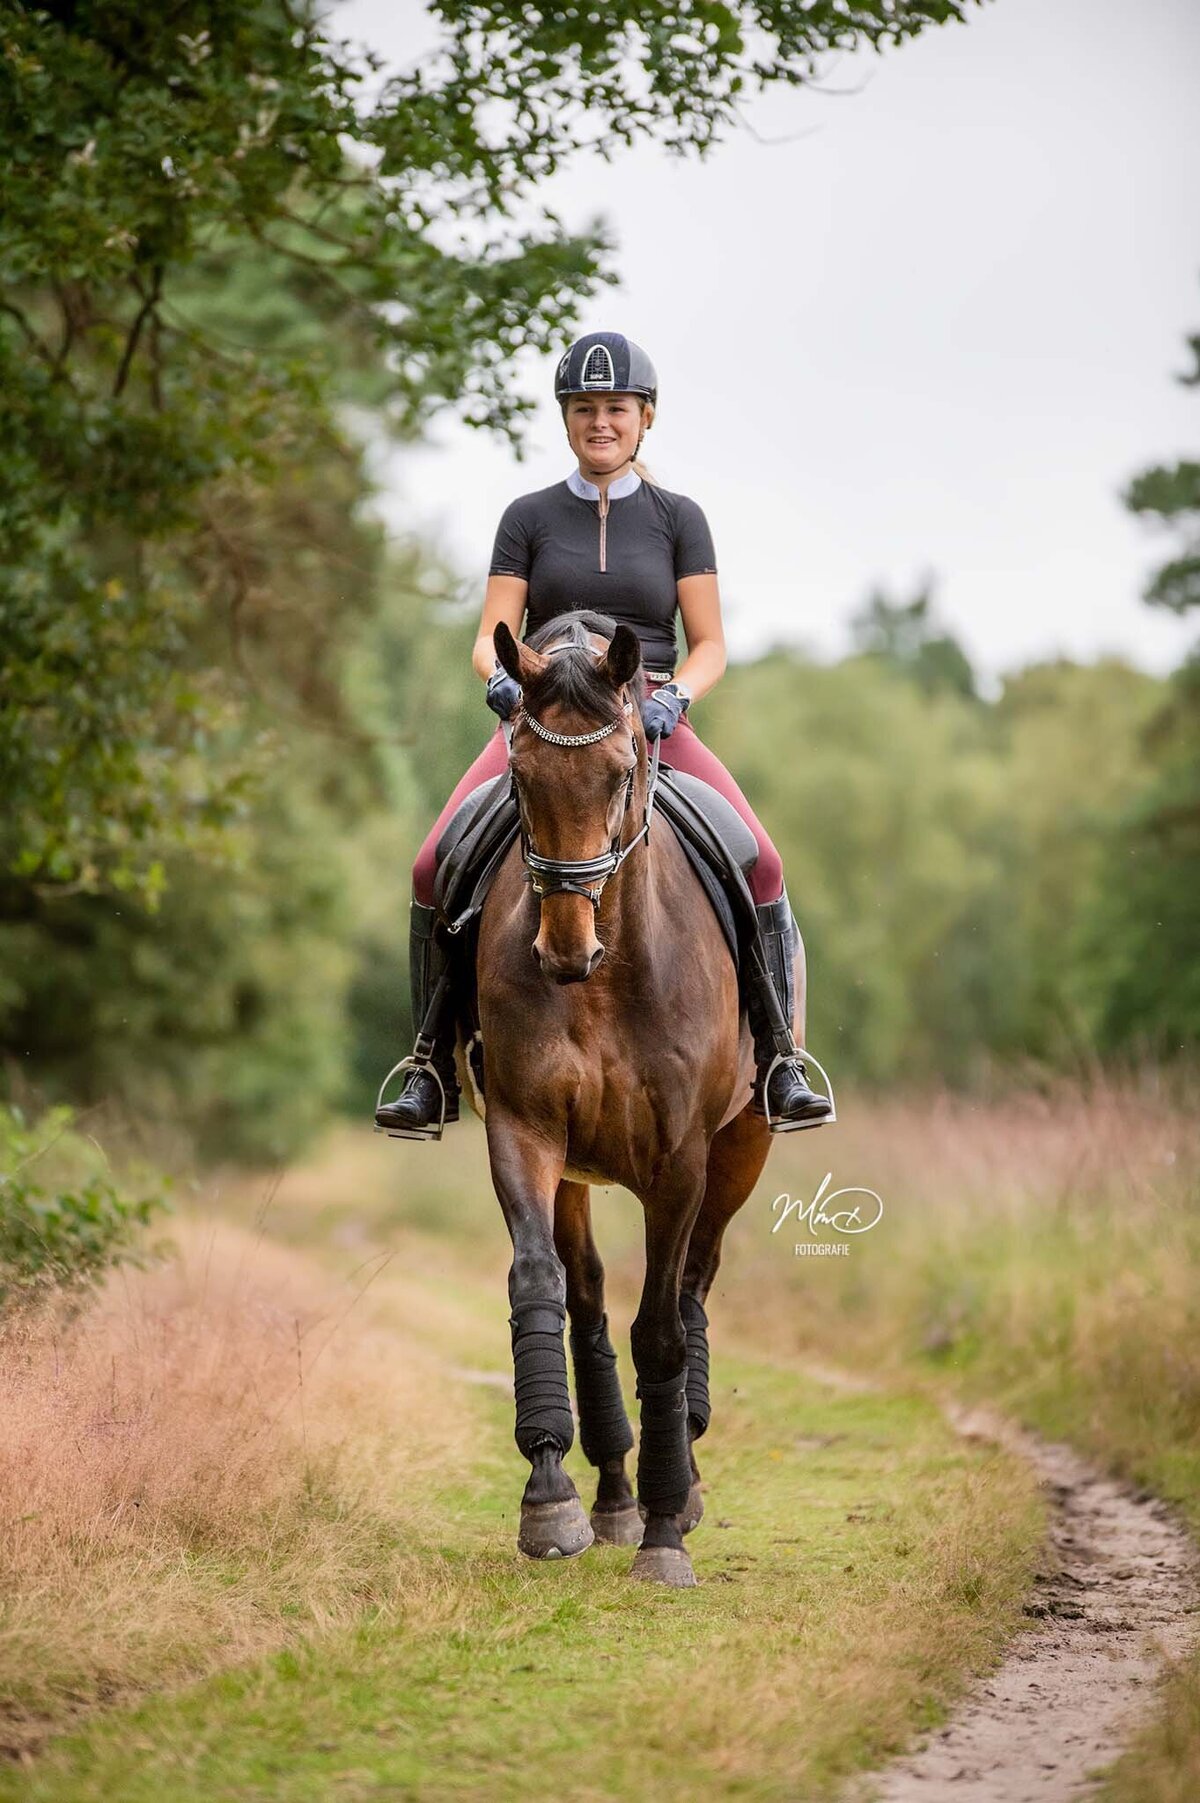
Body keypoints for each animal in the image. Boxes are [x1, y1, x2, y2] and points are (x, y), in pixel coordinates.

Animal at [468, 613, 803, 1586]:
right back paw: (615, 1489)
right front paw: (551, 1496)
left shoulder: (680, 1158)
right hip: (577, 1170)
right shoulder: (525, 1130)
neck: (608, 973)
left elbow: (660, 1326)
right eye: (519, 776)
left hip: (741, 1149)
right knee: (585, 1295)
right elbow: (539, 1284)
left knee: (693, 1287)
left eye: (622, 771)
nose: (562, 948)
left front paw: (663, 1535)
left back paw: (675, 1481)